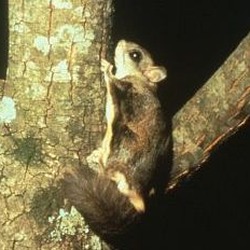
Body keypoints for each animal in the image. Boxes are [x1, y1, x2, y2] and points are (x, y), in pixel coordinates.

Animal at [61, 40, 169, 245]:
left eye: (135, 55)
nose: (122, 41)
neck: (140, 79)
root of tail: (137, 195)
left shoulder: (123, 88)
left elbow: (111, 82)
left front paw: (106, 68)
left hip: (121, 139)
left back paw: (98, 161)